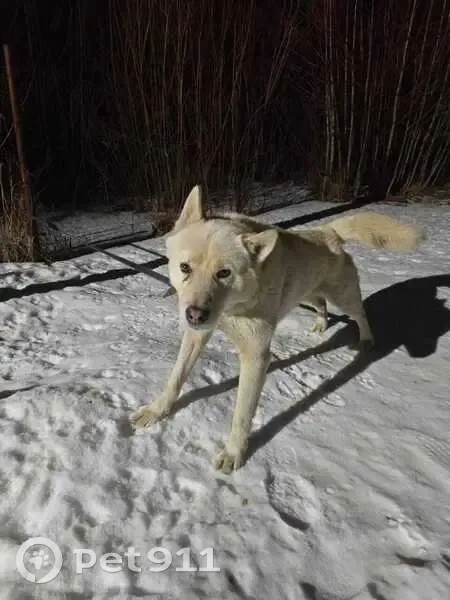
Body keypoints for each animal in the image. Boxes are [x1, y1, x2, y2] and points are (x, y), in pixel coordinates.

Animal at [130, 185, 425, 473]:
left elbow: (242, 414)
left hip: (343, 297)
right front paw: (156, 411)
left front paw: (234, 453)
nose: (195, 315)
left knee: (360, 313)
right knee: (321, 303)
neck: (234, 308)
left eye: (224, 273)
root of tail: (328, 232)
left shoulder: (256, 355)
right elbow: (175, 379)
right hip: (306, 294)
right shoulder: (196, 336)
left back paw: (365, 339)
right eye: (184, 268)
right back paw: (321, 324)